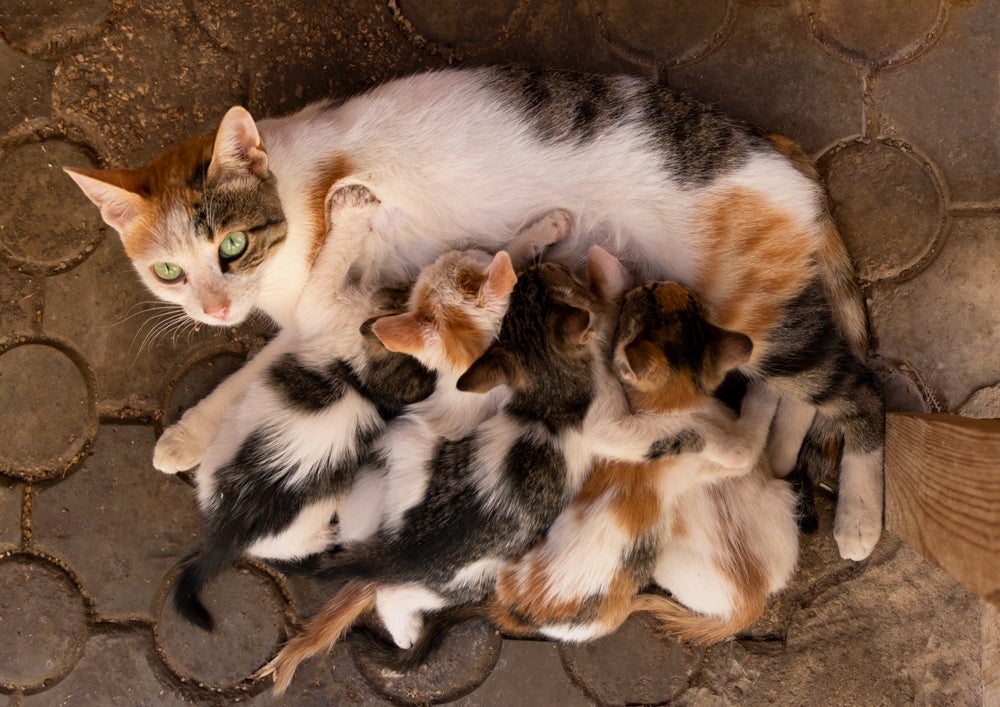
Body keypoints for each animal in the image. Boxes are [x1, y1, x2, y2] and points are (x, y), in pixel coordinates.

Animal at [64, 66, 884, 564]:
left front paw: (184, 434)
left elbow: (252, 368)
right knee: (785, 382)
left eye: (231, 245)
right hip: (747, 312)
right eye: (169, 271)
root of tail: (781, 154)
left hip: (758, 309)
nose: (215, 306)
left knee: (860, 392)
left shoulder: (335, 305)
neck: (290, 196)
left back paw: (857, 517)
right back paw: (776, 447)